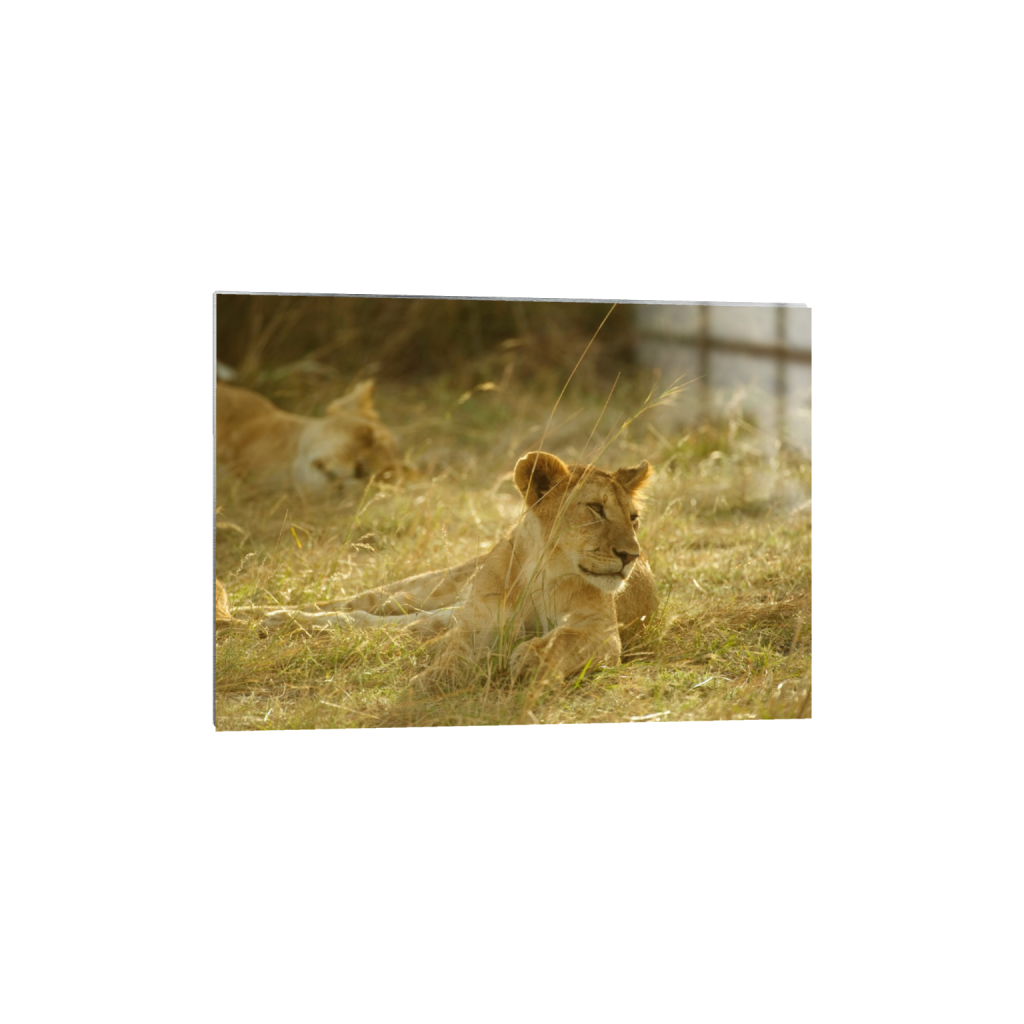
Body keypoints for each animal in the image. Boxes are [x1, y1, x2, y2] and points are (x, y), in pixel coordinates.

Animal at [256, 450, 657, 685]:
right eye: (595, 509)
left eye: (633, 518)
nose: (631, 556)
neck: (540, 571)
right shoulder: (478, 622)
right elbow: (453, 658)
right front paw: (433, 681)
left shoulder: (601, 630)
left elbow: (562, 639)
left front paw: (531, 659)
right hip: (432, 587)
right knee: (357, 604)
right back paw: (265, 614)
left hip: (436, 613)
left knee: (387, 624)